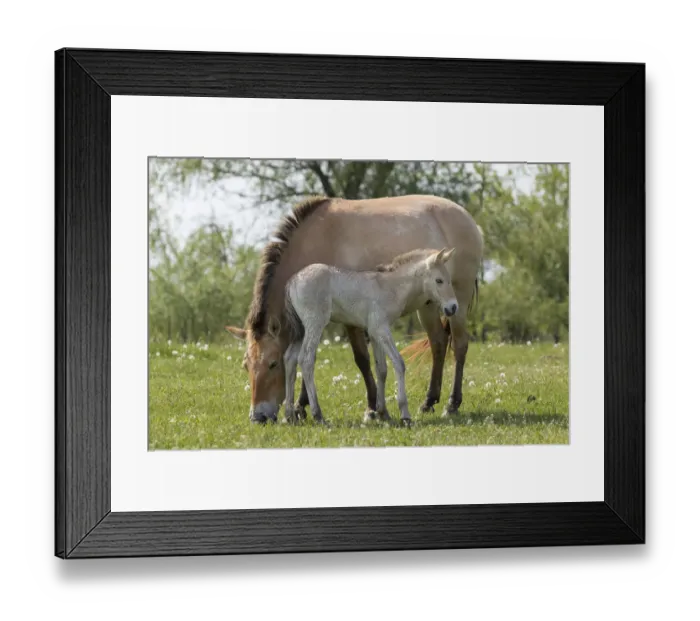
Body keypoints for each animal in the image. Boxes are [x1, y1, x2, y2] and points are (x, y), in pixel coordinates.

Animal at [282, 248, 458, 427]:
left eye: (449, 280)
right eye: (439, 280)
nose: (452, 307)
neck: (390, 287)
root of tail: (293, 281)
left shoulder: (374, 334)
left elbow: (382, 369)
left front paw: (383, 412)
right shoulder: (381, 329)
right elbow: (399, 363)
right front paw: (405, 414)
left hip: (302, 330)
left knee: (289, 358)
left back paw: (290, 415)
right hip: (315, 324)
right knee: (306, 359)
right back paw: (318, 415)